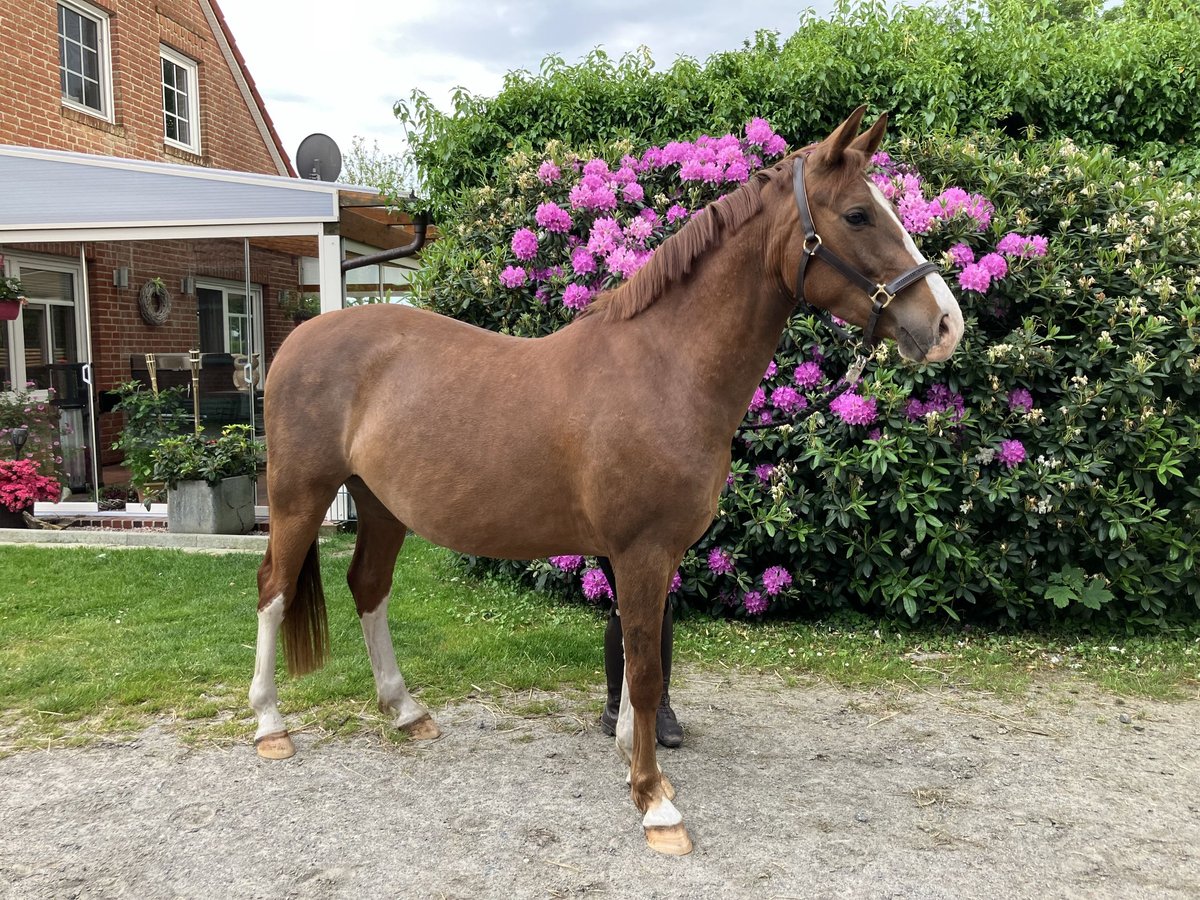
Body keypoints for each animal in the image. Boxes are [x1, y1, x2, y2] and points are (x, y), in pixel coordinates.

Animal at [248, 109, 960, 854]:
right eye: (857, 214)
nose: (946, 323)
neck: (664, 367)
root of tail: (302, 339)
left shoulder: (651, 554)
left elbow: (639, 652)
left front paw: (633, 762)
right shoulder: (641, 550)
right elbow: (644, 672)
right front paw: (655, 803)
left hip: (381, 505)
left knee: (368, 587)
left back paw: (406, 710)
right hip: (300, 497)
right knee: (273, 590)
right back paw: (271, 725)